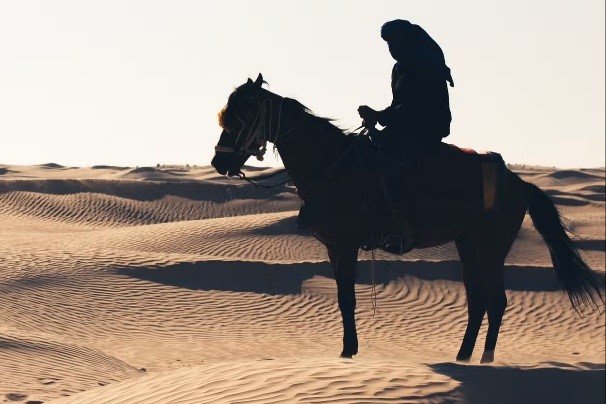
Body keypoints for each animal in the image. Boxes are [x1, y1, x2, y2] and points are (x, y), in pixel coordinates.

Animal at [210, 73, 604, 362]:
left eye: (242, 116)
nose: (219, 161)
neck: (331, 166)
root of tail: (519, 182)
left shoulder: (347, 243)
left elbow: (348, 298)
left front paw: (348, 353)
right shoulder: (334, 246)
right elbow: (341, 298)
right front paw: (347, 350)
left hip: (489, 247)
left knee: (495, 301)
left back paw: (484, 360)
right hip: (468, 244)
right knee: (479, 300)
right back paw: (463, 357)